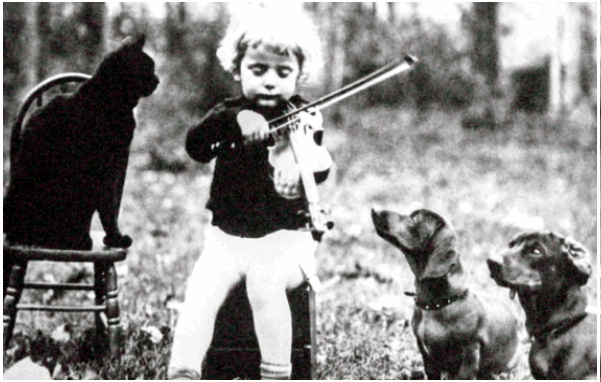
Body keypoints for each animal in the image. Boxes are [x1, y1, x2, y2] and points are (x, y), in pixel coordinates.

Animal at [3, 35, 158, 251]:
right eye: (149, 68)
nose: (158, 80)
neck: (106, 97)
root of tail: (15, 236)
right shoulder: (108, 168)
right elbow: (109, 209)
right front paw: (115, 239)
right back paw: (80, 241)